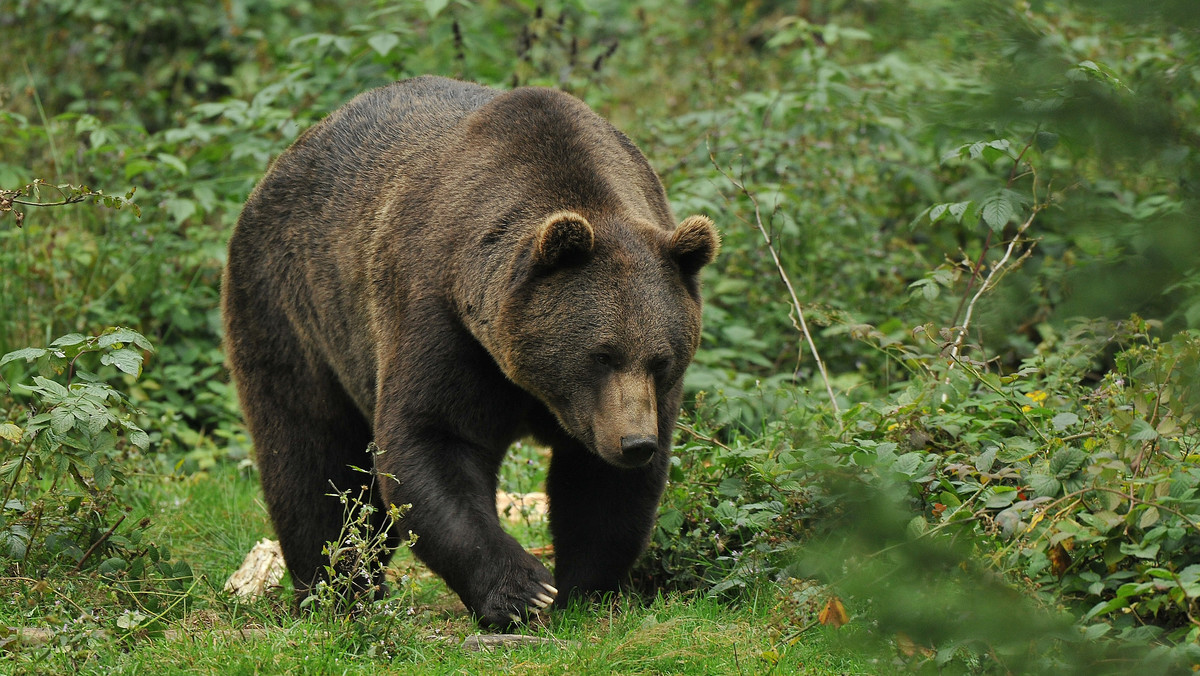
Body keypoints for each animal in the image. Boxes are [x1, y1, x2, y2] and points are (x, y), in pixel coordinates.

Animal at [222, 75, 715, 629]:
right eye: (601, 355)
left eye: (661, 359)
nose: (635, 443)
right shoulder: (440, 317)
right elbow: (432, 439)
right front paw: (524, 589)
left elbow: (598, 488)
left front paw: (583, 589)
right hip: (292, 305)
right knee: (311, 454)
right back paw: (335, 588)